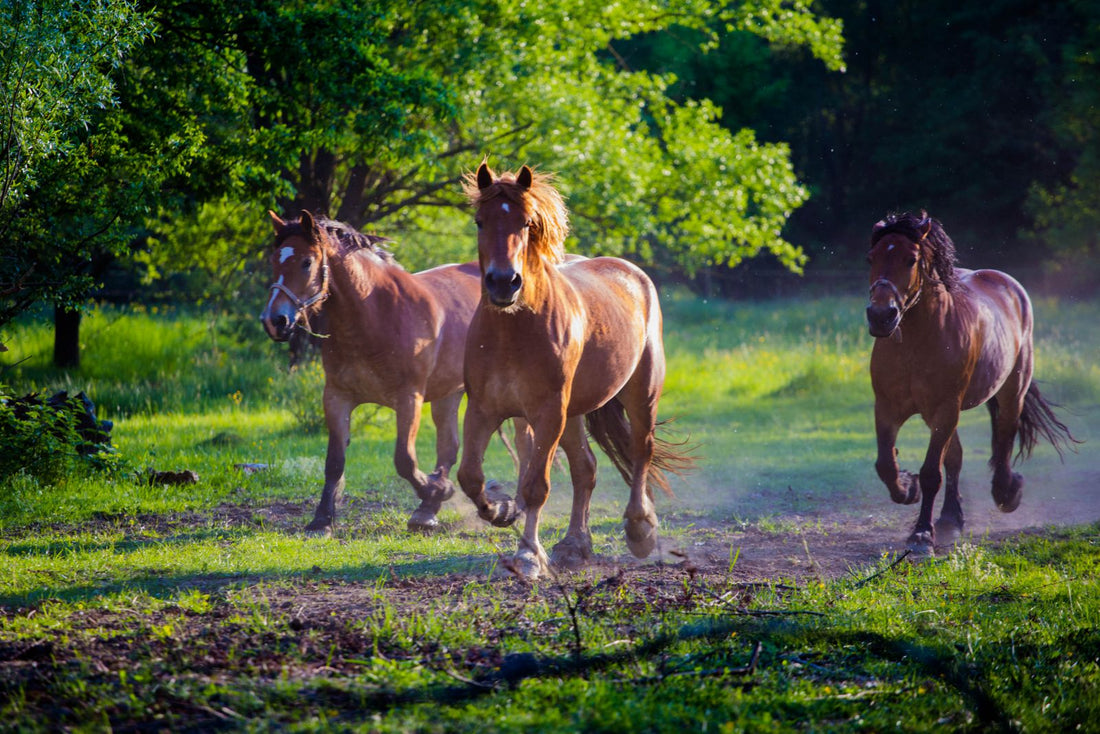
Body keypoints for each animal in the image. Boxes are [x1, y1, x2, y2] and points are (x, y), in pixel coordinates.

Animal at [259, 211, 484, 534]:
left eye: (306, 262)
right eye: (274, 260)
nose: (274, 320)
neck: (375, 315)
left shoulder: (409, 399)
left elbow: (404, 460)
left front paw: (438, 489)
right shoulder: (337, 397)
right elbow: (334, 462)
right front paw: (321, 520)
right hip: (449, 394)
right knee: (448, 446)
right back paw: (426, 512)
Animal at [455, 165, 686, 581]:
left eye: (527, 223)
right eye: (480, 221)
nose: (503, 282)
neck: (513, 329)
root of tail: (633, 274)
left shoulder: (548, 413)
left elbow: (536, 485)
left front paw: (529, 556)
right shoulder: (483, 409)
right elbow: (470, 476)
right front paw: (502, 509)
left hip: (641, 393)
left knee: (640, 451)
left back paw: (640, 530)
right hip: (575, 413)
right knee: (586, 469)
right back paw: (575, 544)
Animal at [866, 209, 1073, 554]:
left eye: (911, 259)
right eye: (871, 258)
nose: (881, 316)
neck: (915, 342)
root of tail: (1008, 284)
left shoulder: (946, 408)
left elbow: (931, 472)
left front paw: (921, 535)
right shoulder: (888, 408)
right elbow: (886, 464)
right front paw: (907, 487)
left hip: (1012, 390)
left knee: (1004, 438)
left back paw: (1007, 492)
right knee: (956, 458)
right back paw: (951, 519)